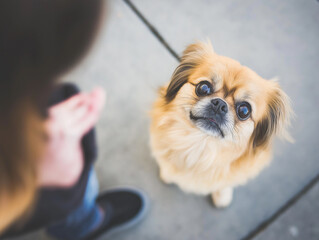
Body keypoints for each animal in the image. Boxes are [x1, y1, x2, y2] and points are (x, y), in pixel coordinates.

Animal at [151, 40, 294, 207]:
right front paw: (168, 174)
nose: (219, 104)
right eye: (203, 87)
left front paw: (222, 195)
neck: (201, 146)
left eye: (244, 110)